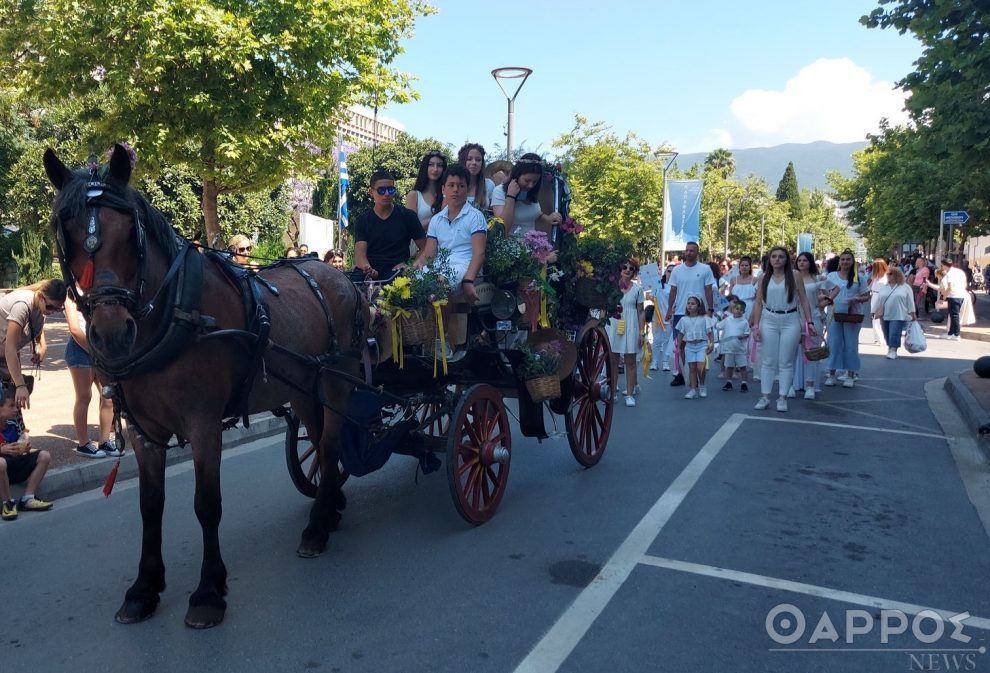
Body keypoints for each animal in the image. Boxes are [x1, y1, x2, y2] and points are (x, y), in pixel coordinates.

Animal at [42, 144, 368, 628]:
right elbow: (150, 506)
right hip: (304, 386)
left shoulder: (204, 424)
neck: (176, 313)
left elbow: (206, 504)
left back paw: (316, 526)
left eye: (130, 233)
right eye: (67, 232)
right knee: (319, 442)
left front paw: (209, 591)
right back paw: (328, 510)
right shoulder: (143, 430)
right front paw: (144, 587)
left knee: (328, 444)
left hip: (336, 380)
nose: (112, 333)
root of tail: (337, 276)